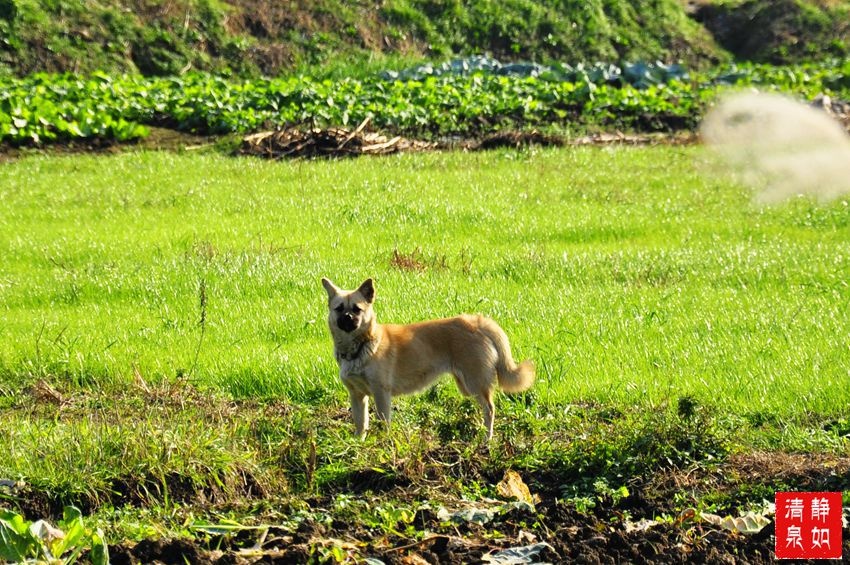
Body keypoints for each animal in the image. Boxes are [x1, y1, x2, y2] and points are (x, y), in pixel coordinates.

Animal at [322, 276, 532, 438]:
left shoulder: (381, 393)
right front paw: (359, 445)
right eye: (339, 308)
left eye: (357, 309)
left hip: (475, 383)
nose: (348, 318)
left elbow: (383, 423)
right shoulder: (357, 396)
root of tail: (477, 322)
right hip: (467, 385)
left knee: (490, 410)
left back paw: (486, 440)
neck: (360, 347)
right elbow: (361, 425)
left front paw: (383, 444)